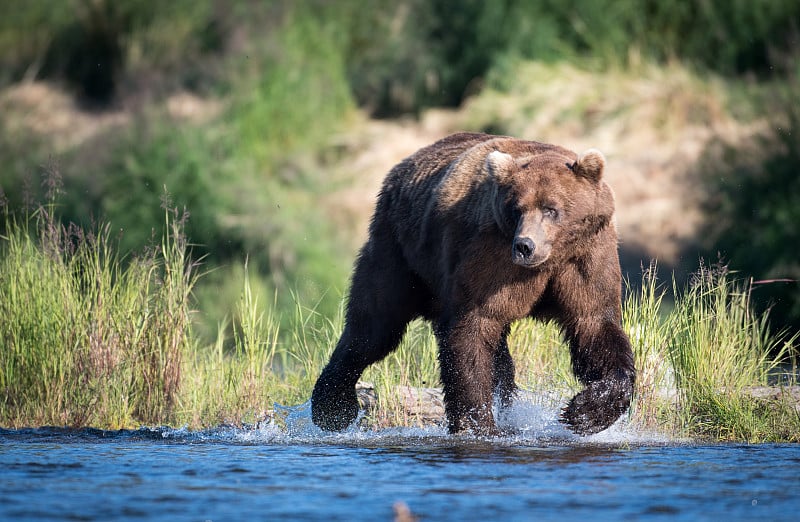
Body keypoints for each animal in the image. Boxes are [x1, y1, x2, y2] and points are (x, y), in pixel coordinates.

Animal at [310, 132, 636, 432]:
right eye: (517, 208)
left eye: (551, 209)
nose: (524, 246)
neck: (551, 260)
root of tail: (402, 166)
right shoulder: (491, 255)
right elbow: (473, 329)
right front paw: (478, 425)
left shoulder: (586, 258)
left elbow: (594, 325)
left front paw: (584, 412)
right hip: (401, 251)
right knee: (374, 325)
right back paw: (333, 408)